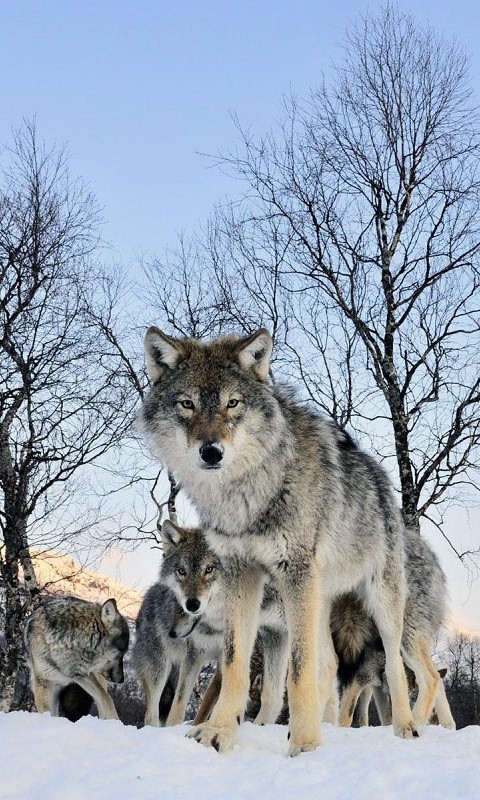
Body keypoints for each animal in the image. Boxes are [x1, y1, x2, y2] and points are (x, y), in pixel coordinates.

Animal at [132, 520, 288, 728]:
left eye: (209, 569)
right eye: (182, 571)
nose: (171, 632)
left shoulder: (224, 665)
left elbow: (206, 706)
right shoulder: (195, 655)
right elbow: (180, 704)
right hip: (159, 669)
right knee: (151, 714)